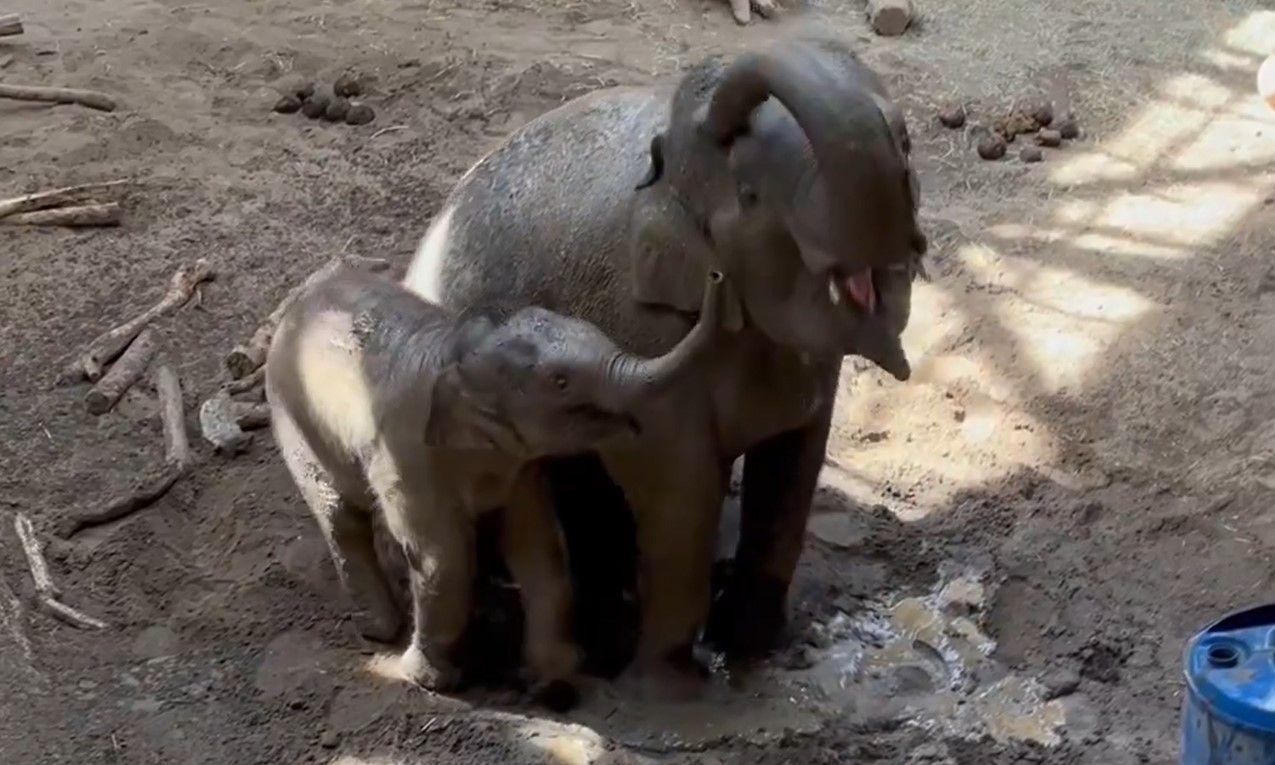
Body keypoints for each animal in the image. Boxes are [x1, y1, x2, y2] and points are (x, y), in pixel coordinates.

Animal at [263, 266, 724, 698]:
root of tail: (297, 298)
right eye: (560, 382)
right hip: (293, 419)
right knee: (340, 516)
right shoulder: (407, 453)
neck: (459, 348)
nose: (716, 275)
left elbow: (537, 546)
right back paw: (380, 629)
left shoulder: (519, 464)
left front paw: (549, 678)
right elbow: (442, 558)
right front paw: (427, 681)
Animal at [405, 32, 928, 693]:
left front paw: (751, 644)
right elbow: (680, 483)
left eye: (907, 146)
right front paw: (674, 683)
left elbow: (794, 462)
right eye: (752, 196)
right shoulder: (643, 327)